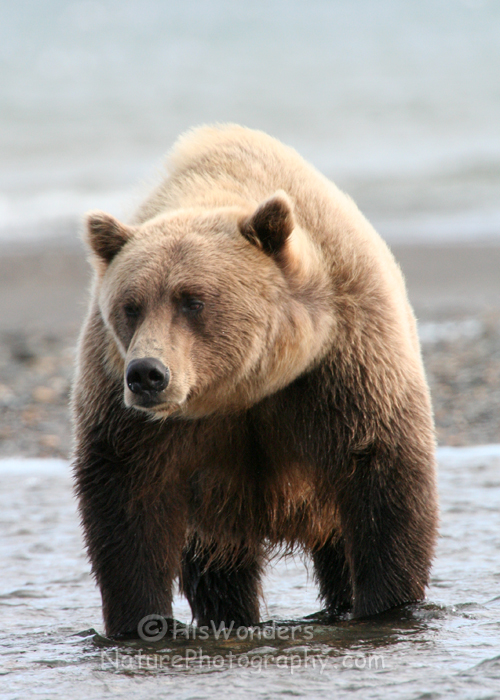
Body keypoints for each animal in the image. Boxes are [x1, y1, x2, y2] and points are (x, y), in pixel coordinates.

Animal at [70, 123, 438, 636]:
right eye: (130, 305)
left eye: (192, 300)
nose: (147, 374)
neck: (242, 390)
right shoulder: (130, 414)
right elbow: (126, 503)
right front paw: (141, 623)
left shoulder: (341, 369)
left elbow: (383, 478)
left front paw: (388, 606)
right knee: (218, 570)